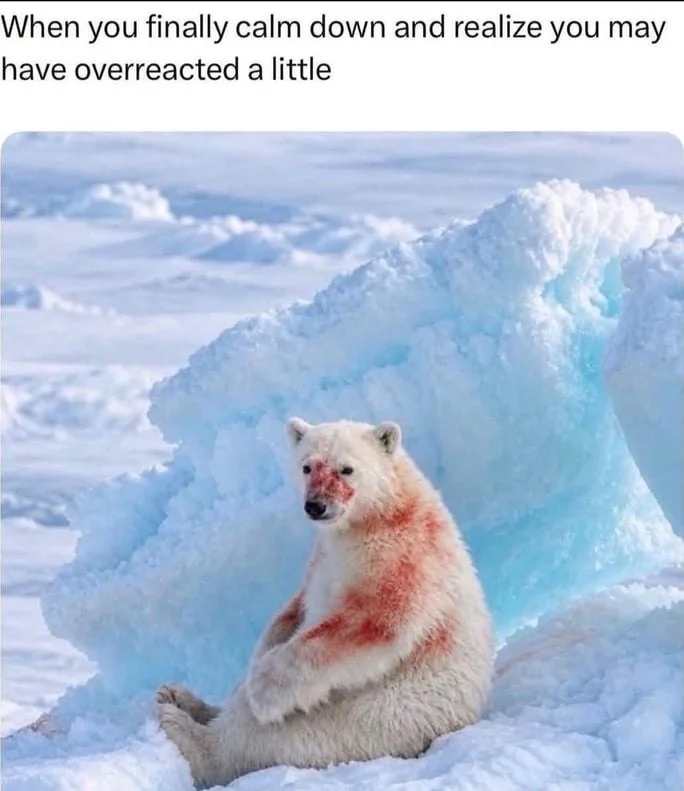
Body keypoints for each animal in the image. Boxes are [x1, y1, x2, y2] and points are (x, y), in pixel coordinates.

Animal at [157, 418, 495, 789]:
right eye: (307, 466)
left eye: (346, 469)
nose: (315, 506)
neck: (379, 515)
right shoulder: (323, 555)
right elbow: (294, 609)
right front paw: (255, 664)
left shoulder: (404, 555)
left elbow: (370, 622)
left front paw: (261, 691)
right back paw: (181, 697)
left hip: (373, 719)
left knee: (267, 739)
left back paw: (182, 727)